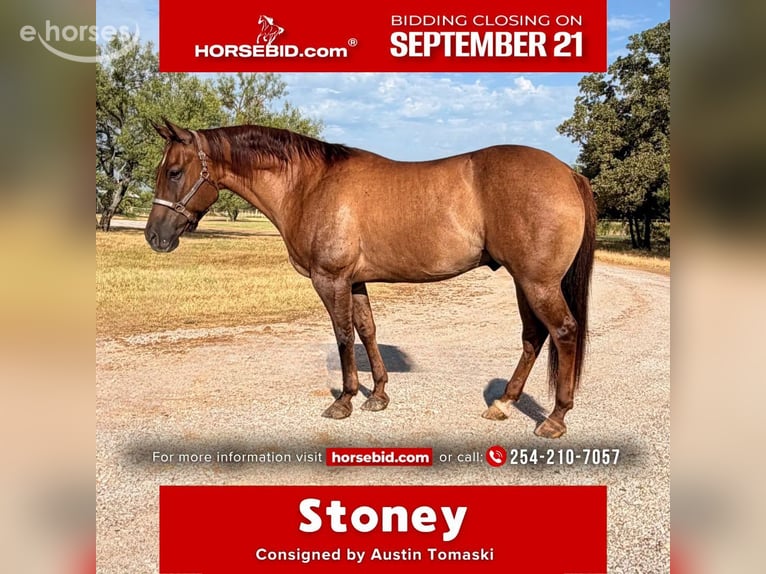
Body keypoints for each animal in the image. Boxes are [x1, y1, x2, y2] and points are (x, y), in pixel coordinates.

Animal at [146, 118, 596, 438]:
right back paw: (503, 402)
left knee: (563, 331)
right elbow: (367, 330)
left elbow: (344, 335)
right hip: (524, 282)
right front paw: (378, 395)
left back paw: (555, 418)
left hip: (537, 282)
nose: (155, 237)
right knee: (534, 337)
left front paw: (344, 400)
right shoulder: (355, 281)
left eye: (174, 171)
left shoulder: (330, 280)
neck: (309, 184)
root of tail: (568, 173)